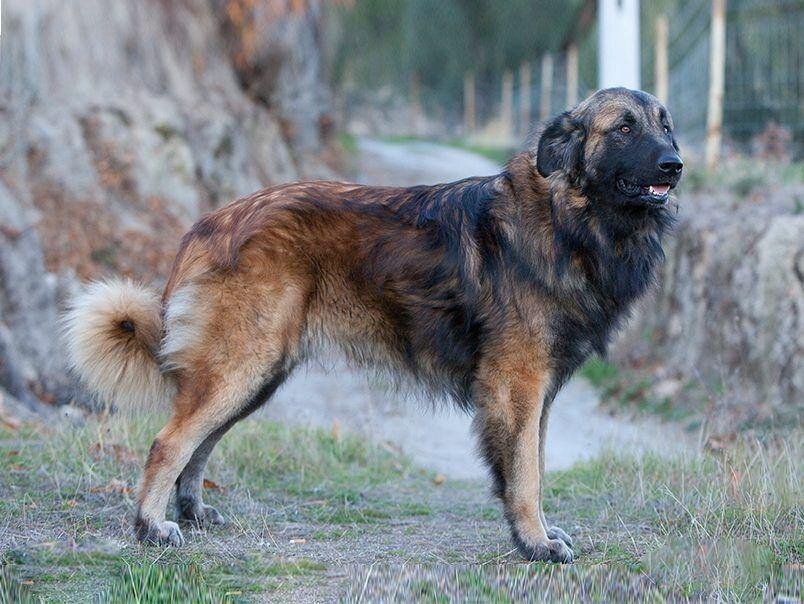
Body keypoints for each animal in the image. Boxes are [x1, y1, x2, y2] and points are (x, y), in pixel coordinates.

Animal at [62, 88, 680, 560]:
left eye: (666, 125)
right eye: (624, 128)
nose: (675, 165)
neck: (567, 219)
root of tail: (210, 223)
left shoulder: (538, 393)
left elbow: (536, 466)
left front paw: (538, 534)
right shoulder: (518, 386)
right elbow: (525, 474)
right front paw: (534, 543)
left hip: (257, 374)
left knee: (200, 443)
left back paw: (190, 513)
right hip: (242, 365)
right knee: (169, 442)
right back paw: (151, 528)